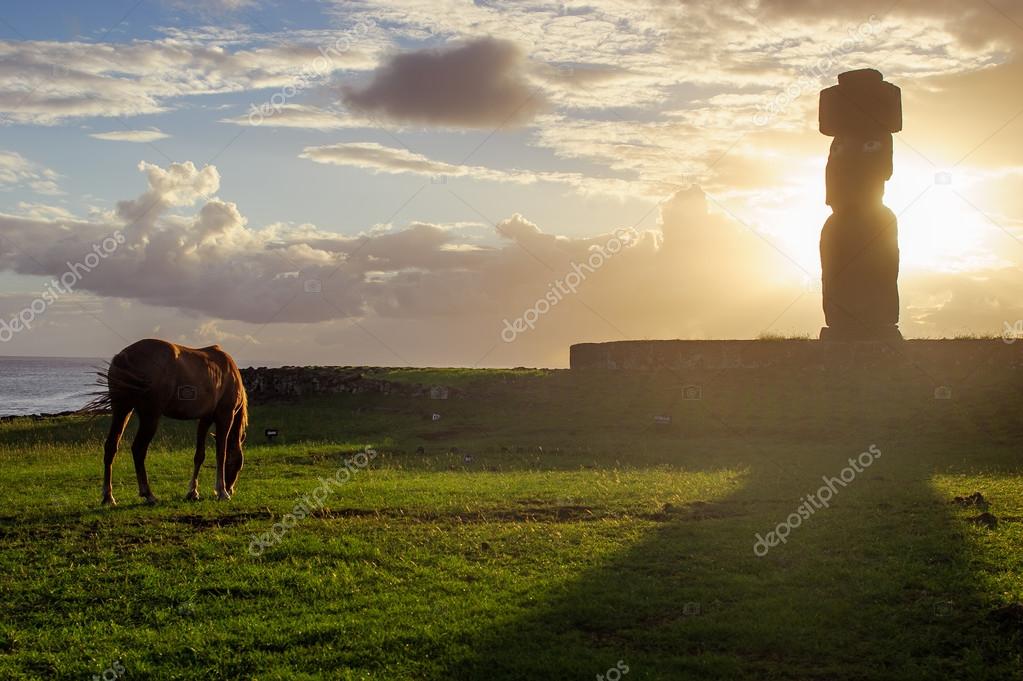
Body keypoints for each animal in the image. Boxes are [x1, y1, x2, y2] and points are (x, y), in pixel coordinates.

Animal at [84, 337, 248, 503]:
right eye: (238, 465)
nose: (231, 488)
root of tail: (124, 357)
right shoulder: (225, 416)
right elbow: (221, 453)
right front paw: (222, 491)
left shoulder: (205, 419)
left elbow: (199, 455)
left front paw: (193, 491)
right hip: (150, 416)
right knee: (138, 449)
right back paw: (148, 494)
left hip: (122, 410)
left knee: (111, 446)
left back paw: (108, 496)